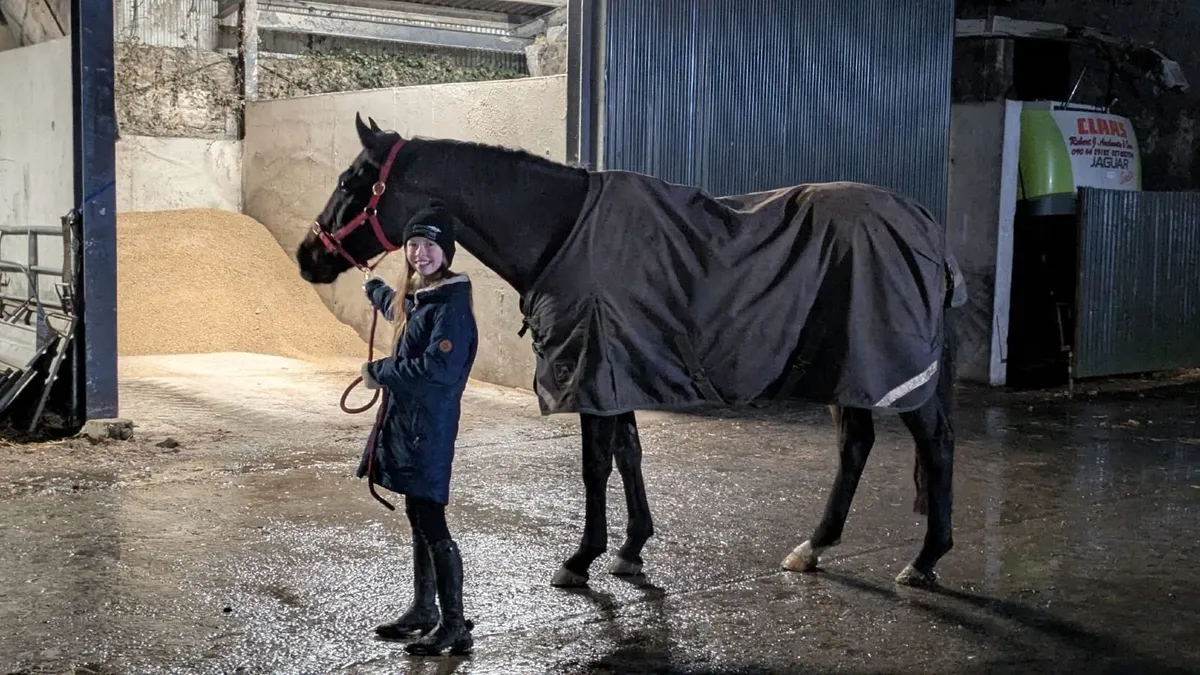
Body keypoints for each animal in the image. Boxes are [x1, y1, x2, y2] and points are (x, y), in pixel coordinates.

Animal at [296, 113, 964, 589]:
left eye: (352, 182)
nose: (308, 256)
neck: (564, 228)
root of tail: (927, 223)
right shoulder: (617, 368)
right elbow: (628, 453)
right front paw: (632, 547)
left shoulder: (590, 369)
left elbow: (596, 464)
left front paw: (581, 558)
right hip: (846, 368)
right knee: (855, 446)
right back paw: (814, 547)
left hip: (896, 369)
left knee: (934, 442)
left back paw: (926, 559)